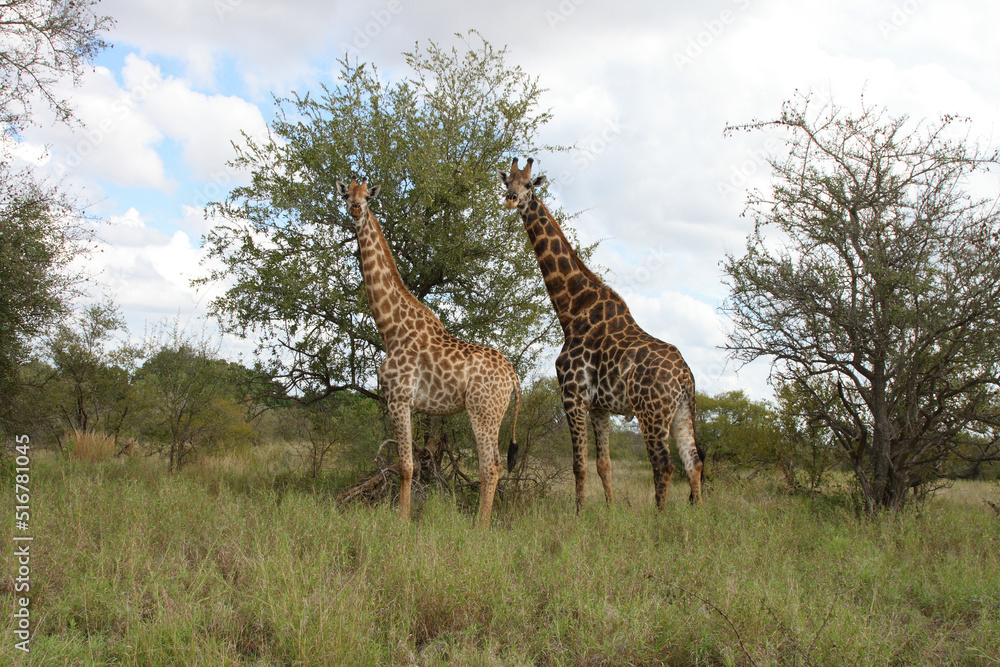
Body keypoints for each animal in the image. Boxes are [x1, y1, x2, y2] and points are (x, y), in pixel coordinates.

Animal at [335, 178, 521, 525]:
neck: (390, 328)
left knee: (491, 466)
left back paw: (480, 528)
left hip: (483, 412)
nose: (355, 208)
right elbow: (408, 464)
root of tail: (514, 378)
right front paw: (405, 516)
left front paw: (401, 521)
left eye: (367, 196)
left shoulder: (398, 397)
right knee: (496, 465)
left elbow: (406, 466)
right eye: (346, 193)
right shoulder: (407, 404)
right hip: (493, 414)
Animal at [498, 158, 704, 511]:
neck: (571, 311)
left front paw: (579, 515)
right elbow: (603, 464)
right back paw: (699, 517)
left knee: (664, 464)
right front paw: (609, 511)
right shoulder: (599, 406)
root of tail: (686, 376)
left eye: (528, 185)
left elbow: (579, 465)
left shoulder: (572, 395)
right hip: (680, 412)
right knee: (694, 463)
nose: (512, 199)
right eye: (507, 181)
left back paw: (659, 520)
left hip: (651, 412)